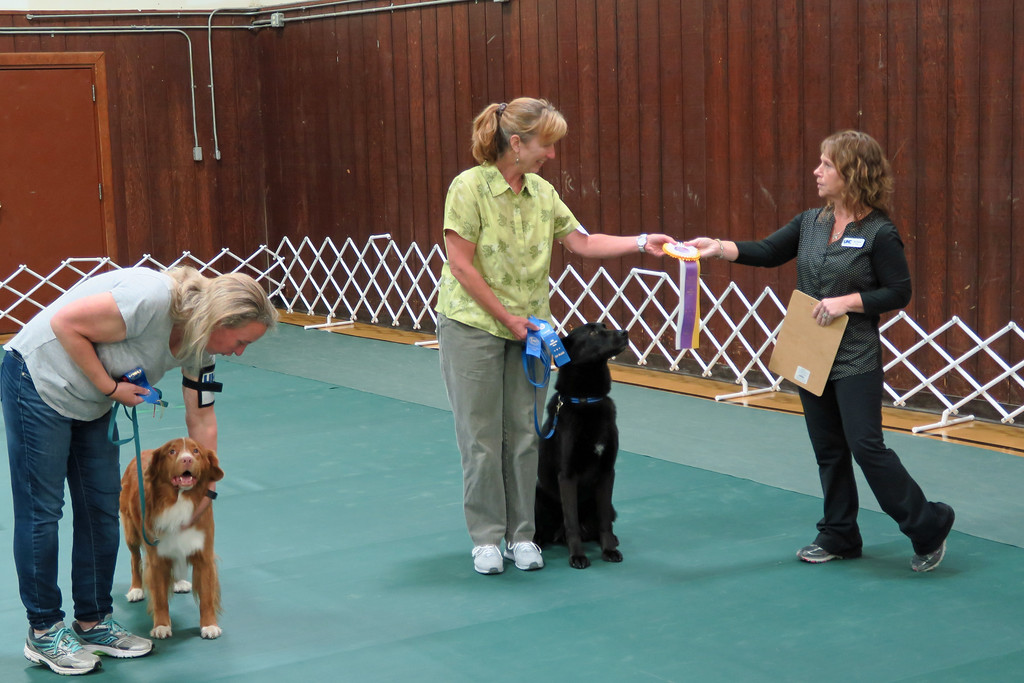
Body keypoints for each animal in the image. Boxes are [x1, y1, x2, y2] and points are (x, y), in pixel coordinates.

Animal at [119, 438, 224, 643]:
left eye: (196, 451)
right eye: (172, 451)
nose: (187, 459)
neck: (179, 500)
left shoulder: (204, 555)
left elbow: (207, 596)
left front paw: (209, 625)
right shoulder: (157, 558)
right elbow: (160, 597)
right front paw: (161, 626)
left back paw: (179, 582)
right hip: (131, 532)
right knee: (135, 559)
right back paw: (136, 589)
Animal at [532, 323, 626, 569]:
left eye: (604, 326)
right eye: (592, 332)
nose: (625, 333)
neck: (587, 401)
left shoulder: (607, 473)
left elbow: (604, 522)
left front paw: (609, 550)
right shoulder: (567, 475)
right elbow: (571, 521)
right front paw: (577, 556)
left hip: (605, 505)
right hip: (537, 496)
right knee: (545, 528)